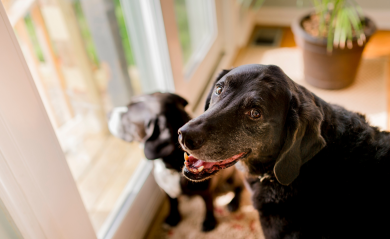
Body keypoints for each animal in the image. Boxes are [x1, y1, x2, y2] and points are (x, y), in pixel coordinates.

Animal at [108, 92, 244, 232]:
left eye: (128, 115)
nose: (108, 113)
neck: (172, 166)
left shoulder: (206, 190)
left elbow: (208, 205)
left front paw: (209, 222)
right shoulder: (166, 190)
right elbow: (173, 203)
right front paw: (173, 218)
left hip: (233, 178)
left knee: (240, 187)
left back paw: (233, 203)